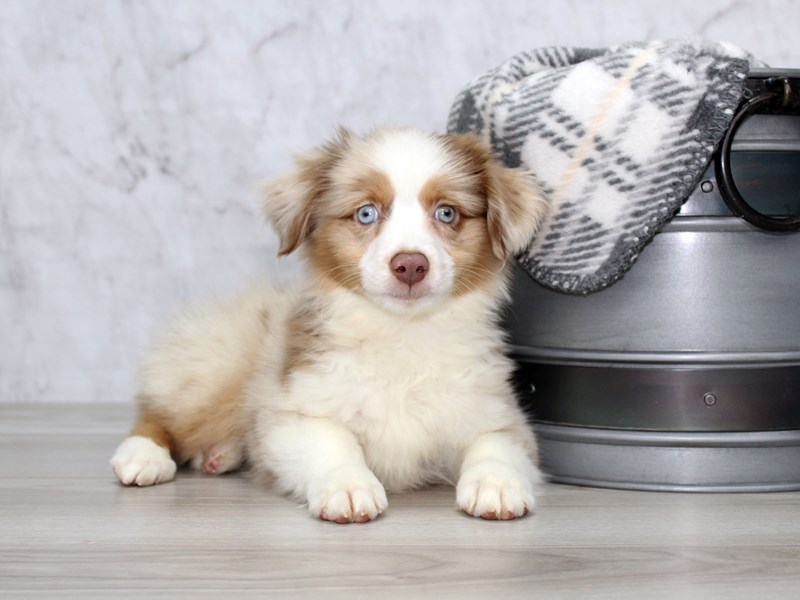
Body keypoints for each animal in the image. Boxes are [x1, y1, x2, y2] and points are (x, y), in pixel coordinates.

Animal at [111, 126, 552, 520]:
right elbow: (333, 441)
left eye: (446, 213)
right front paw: (349, 485)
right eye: (366, 213)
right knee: (158, 413)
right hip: (213, 368)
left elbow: (496, 445)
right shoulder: (294, 411)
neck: (402, 332)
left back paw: (221, 455)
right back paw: (142, 456)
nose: (410, 264)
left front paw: (497, 484)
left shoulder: (499, 412)